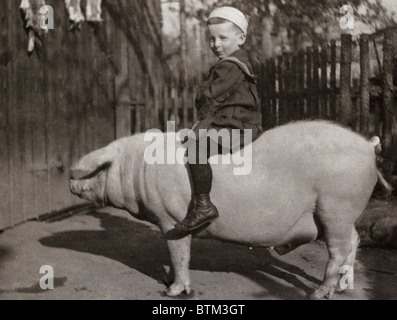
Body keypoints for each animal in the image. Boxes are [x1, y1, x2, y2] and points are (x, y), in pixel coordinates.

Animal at [69, 120, 390, 300]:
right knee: (354, 241)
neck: (138, 166)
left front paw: (171, 291)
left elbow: (179, 254)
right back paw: (344, 288)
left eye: (95, 171)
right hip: (343, 213)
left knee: (338, 249)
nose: (70, 178)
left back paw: (318, 293)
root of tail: (367, 145)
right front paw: (168, 282)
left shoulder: (170, 218)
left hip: (336, 205)